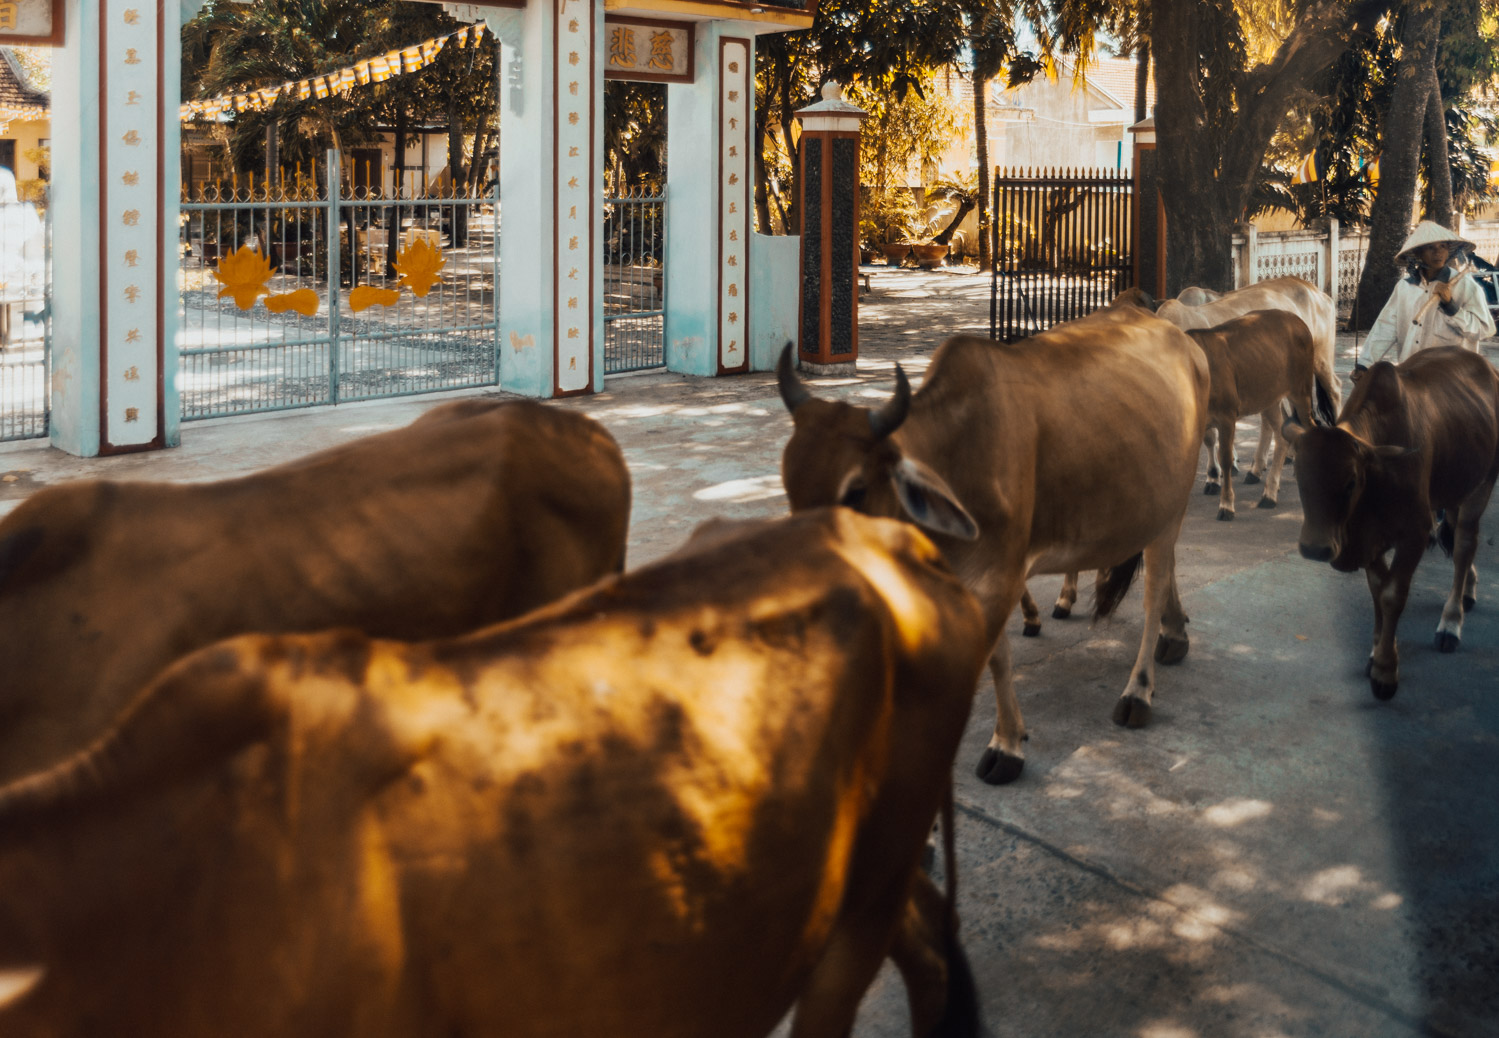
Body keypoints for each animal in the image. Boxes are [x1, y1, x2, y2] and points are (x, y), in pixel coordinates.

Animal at [779, 298, 1211, 780]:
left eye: (855, 490)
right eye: (788, 483)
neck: (956, 452)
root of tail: (1182, 340)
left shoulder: (1000, 575)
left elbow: (994, 659)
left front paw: (1004, 747)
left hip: (1171, 508)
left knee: (1155, 589)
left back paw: (1138, 691)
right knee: (1168, 573)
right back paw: (1174, 636)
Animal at [1187, 306, 1343, 519]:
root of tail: (1296, 321)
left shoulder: (1226, 416)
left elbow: (1225, 458)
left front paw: (1226, 505)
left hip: (1300, 391)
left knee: (1310, 426)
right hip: (1270, 400)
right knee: (1282, 435)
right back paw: (1269, 493)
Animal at [1277, 346, 1499, 696]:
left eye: (1351, 481)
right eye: (1299, 476)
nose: (1315, 548)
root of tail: (1486, 368)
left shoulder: (1414, 534)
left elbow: (1392, 595)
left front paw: (1385, 670)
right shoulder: (1370, 541)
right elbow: (1377, 590)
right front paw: (1376, 651)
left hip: (1483, 483)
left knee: (1464, 545)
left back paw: (1451, 621)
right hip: (1453, 488)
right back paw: (1469, 588)